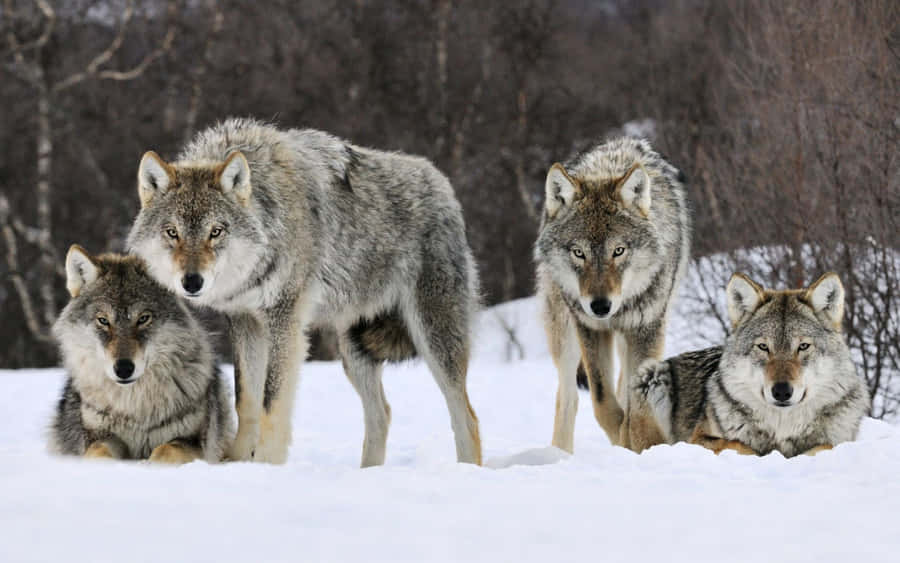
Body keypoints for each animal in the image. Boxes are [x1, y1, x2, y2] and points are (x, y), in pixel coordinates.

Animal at [49, 246, 234, 463]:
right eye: (103, 320)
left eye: (143, 319)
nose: (123, 368)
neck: (134, 408)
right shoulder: (99, 436)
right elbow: (98, 452)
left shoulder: (194, 442)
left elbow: (165, 450)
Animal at [127, 118, 481, 466]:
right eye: (172, 232)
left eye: (216, 231)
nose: (192, 282)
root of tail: (442, 183)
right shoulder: (245, 321)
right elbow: (246, 400)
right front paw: (237, 461)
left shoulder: (285, 320)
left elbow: (271, 402)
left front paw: (266, 465)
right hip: (353, 351)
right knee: (382, 414)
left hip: (432, 338)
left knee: (466, 416)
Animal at [535, 137, 690, 453]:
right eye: (578, 252)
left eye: (618, 251)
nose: (600, 306)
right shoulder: (590, 328)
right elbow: (603, 401)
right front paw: (622, 438)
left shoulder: (647, 328)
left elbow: (634, 404)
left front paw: (636, 444)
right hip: (564, 332)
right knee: (568, 397)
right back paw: (560, 454)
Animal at [633, 272, 870, 457]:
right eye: (763, 347)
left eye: (803, 346)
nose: (781, 391)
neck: (782, 428)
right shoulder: (698, 439)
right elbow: (740, 445)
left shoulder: (839, 441)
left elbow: (824, 446)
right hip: (651, 375)